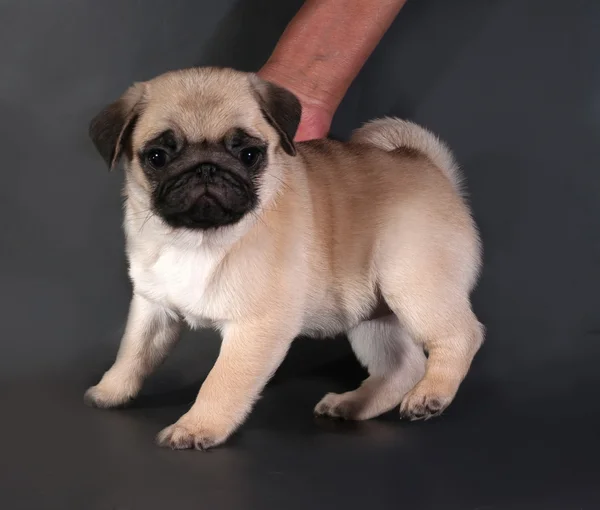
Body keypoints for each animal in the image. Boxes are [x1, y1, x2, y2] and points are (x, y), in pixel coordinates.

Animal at [84, 66, 486, 450]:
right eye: (158, 157)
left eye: (248, 154)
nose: (206, 168)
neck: (197, 238)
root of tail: (424, 163)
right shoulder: (153, 307)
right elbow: (133, 352)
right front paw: (110, 390)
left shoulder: (256, 327)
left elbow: (221, 381)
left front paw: (197, 427)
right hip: (372, 318)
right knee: (402, 367)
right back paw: (351, 404)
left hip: (414, 284)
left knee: (462, 335)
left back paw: (431, 395)